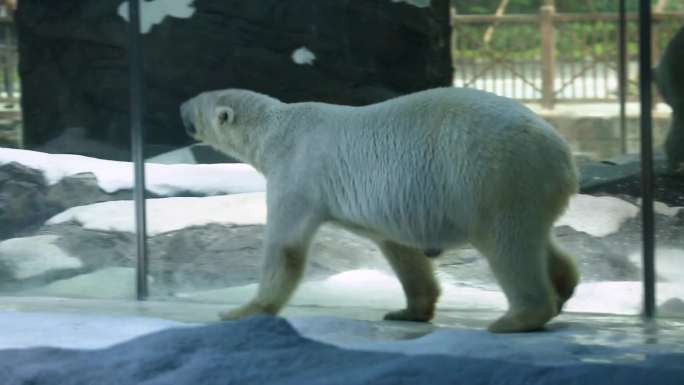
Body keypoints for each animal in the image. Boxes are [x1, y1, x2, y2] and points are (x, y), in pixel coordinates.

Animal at [179, 86, 580, 330]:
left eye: (197, 103)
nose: (180, 105)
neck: (276, 127)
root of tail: (562, 154)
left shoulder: (296, 172)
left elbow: (285, 248)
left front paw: (239, 312)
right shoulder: (389, 204)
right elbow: (400, 250)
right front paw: (407, 311)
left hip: (493, 177)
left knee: (508, 246)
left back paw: (516, 318)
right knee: (536, 239)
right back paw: (563, 287)